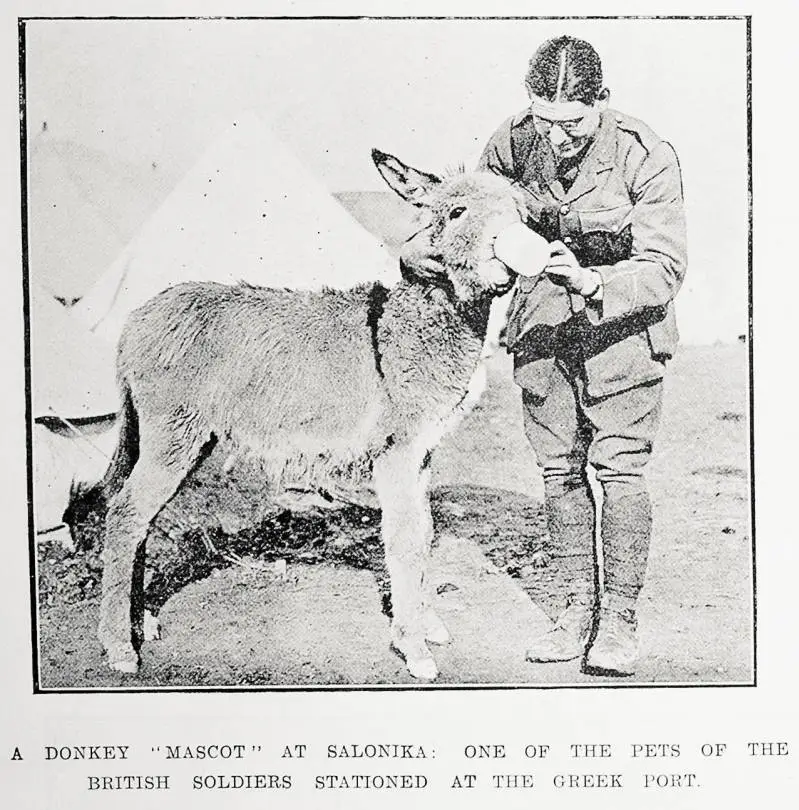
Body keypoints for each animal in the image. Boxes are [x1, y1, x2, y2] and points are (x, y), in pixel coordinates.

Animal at [98, 148, 524, 680]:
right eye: (456, 212)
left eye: (518, 210)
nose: (512, 259)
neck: (412, 327)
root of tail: (135, 318)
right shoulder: (396, 454)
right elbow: (404, 539)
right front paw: (413, 647)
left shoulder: (422, 455)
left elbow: (424, 532)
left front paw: (427, 624)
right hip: (173, 436)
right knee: (125, 514)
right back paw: (119, 647)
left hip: (182, 440)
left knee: (135, 515)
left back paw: (139, 622)